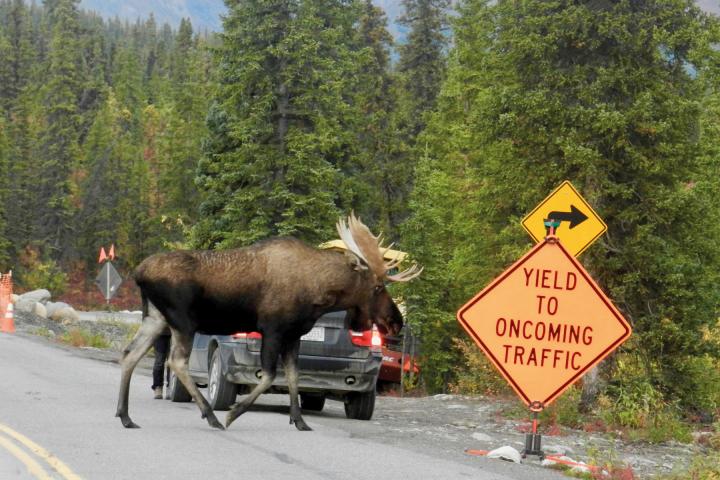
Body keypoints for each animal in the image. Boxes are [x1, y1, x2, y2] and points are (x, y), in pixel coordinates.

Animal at [115, 214, 422, 432]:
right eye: (377, 287)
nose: (396, 321)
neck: (319, 293)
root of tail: (138, 273)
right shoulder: (273, 329)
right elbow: (270, 375)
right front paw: (233, 414)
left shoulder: (293, 335)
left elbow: (294, 376)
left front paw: (300, 421)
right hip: (183, 321)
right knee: (176, 361)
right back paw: (211, 416)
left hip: (156, 318)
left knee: (130, 353)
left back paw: (125, 416)